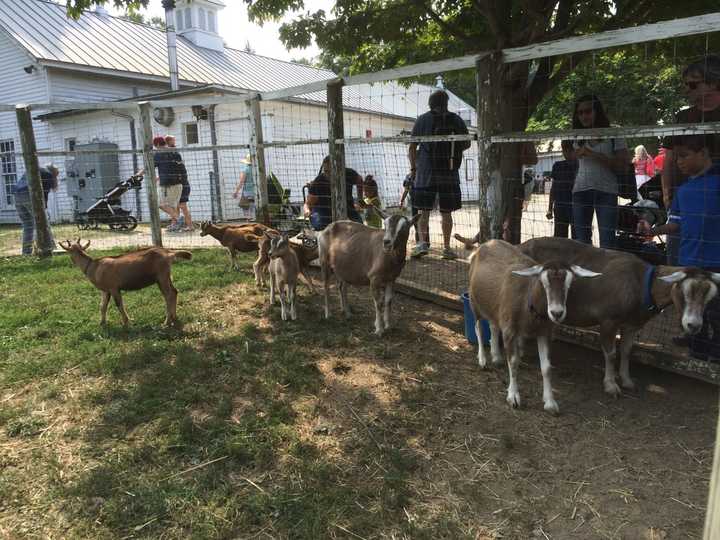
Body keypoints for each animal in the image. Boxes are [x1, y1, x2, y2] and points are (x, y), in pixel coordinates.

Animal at [58, 239, 191, 324]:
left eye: (68, 252)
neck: (93, 266)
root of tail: (169, 253)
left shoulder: (114, 288)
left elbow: (119, 305)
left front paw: (127, 322)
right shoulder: (105, 290)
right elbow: (102, 306)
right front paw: (102, 323)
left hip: (161, 277)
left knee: (168, 295)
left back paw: (167, 321)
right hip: (167, 276)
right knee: (174, 292)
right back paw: (174, 317)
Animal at [464, 238, 600, 412]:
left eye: (569, 284)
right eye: (543, 283)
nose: (557, 313)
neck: (527, 298)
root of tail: (485, 243)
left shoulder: (544, 332)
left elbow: (546, 367)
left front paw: (550, 402)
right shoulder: (509, 330)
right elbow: (513, 362)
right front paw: (513, 396)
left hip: (494, 307)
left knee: (493, 326)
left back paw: (496, 356)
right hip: (474, 301)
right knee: (479, 328)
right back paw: (482, 360)